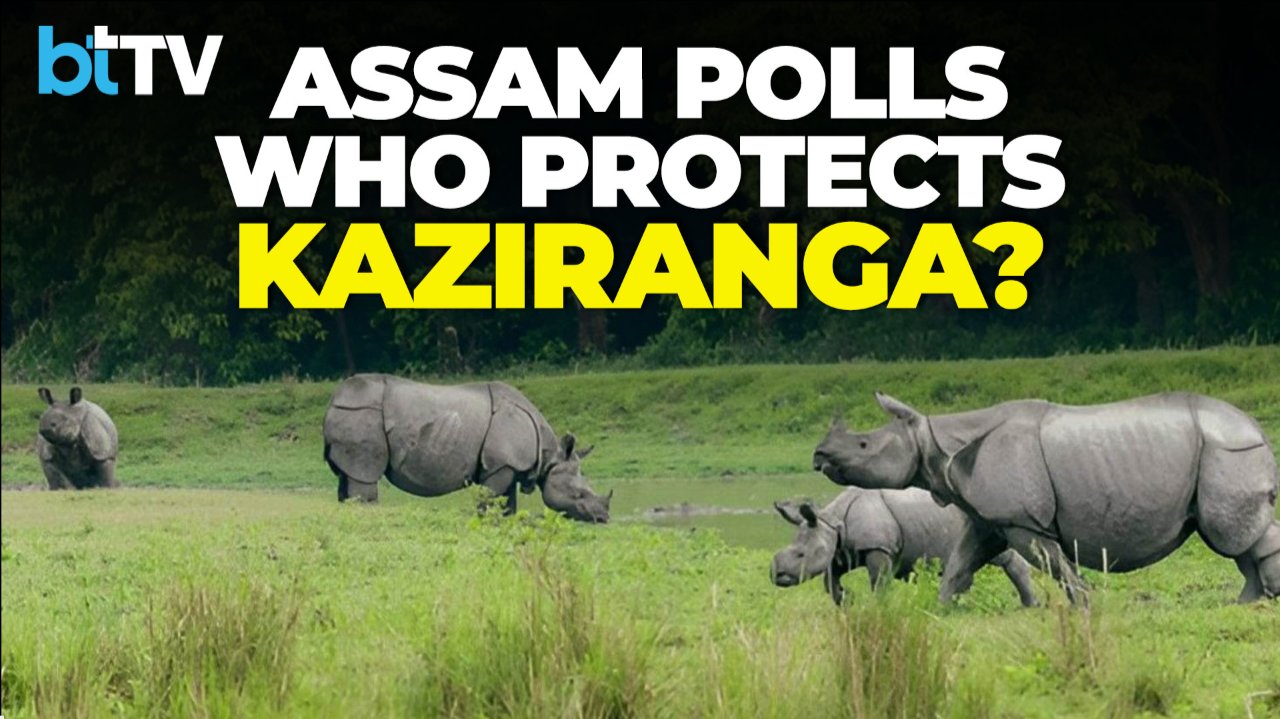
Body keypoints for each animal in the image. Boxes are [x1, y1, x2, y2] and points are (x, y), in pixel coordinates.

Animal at [323, 374, 612, 522]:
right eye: (579, 494)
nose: (604, 518)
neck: (550, 457)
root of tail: (332, 401)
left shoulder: (509, 465)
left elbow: (508, 501)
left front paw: (505, 519)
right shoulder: (501, 464)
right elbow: (490, 497)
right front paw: (484, 520)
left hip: (353, 415)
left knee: (346, 476)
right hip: (361, 414)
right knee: (364, 474)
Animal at [770, 487, 1038, 607]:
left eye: (800, 555)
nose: (777, 576)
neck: (833, 521)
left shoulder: (879, 547)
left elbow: (878, 581)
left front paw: (879, 606)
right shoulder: (841, 549)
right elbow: (830, 581)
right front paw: (847, 600)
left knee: (1006, 557)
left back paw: (1030, 606)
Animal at [812, 392, 1280, 604]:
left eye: (863, 445)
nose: (819, 456)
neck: (933, 439)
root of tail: (1256, 427)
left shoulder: (1022, 520)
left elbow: (1054, 564)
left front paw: (1085, 605)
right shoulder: (990, 518)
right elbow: (960, 564)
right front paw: (940, 609)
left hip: (1227, 450)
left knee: (1229, 534)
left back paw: (1253, 601)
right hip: (1224, 449)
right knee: (1235, 536)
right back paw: (1249, 601)